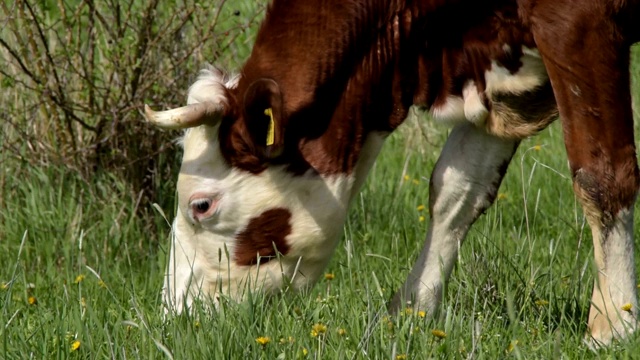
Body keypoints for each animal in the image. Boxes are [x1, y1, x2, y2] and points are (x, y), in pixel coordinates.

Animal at [145, 0, 640, 348]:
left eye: (201, 205)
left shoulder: (577, 22)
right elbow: (458, 189)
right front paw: (411, 313)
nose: (175, 318)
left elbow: (602, 175)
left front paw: (613, 324)